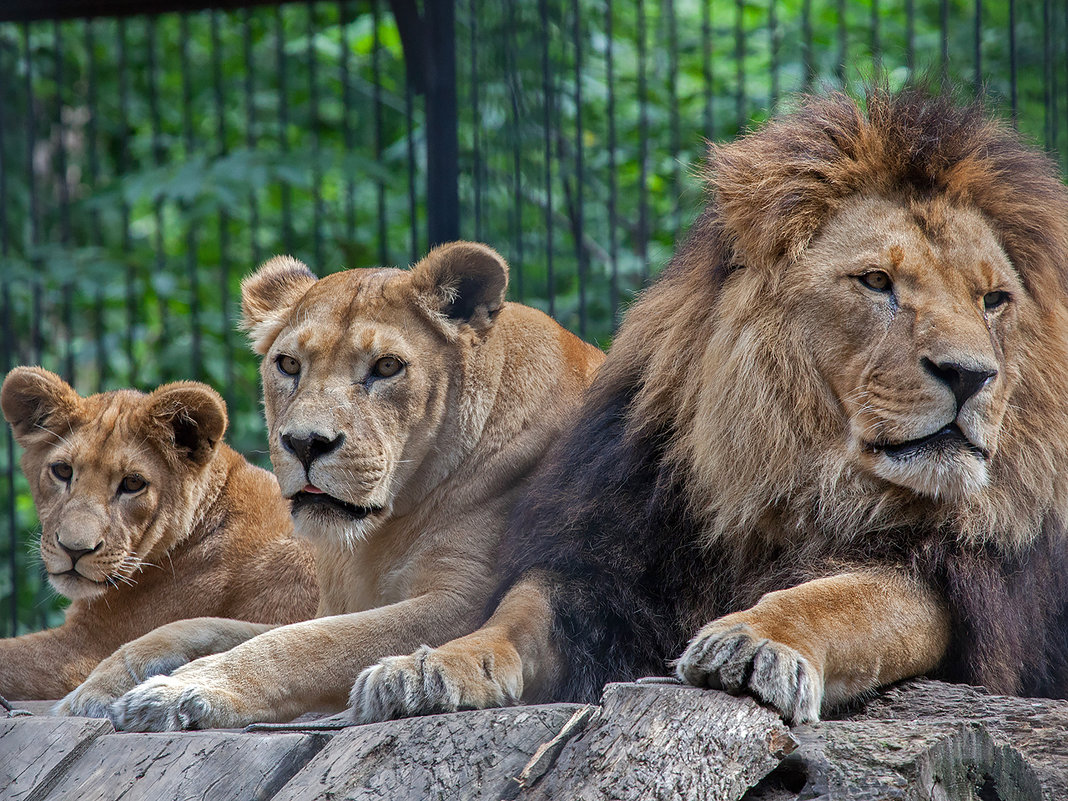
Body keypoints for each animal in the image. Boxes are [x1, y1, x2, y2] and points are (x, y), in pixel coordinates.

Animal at [73, 241, 610, 730]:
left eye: (388, 366)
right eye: (289, 365)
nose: (305, 443)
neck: (378, 532)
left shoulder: (462, 601)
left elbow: (306, 642)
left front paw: (187, 689)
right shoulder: (330, 603)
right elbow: (201, 625)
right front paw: (102, 685)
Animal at [354, 89, 1068, 726]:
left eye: (994, 300)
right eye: (876, 281)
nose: (972, 376)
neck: (784, 478)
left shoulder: (943, 580)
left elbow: (845, 602)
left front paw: (755, 641)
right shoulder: (597, 562)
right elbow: (509, 622)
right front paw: (423, 668)